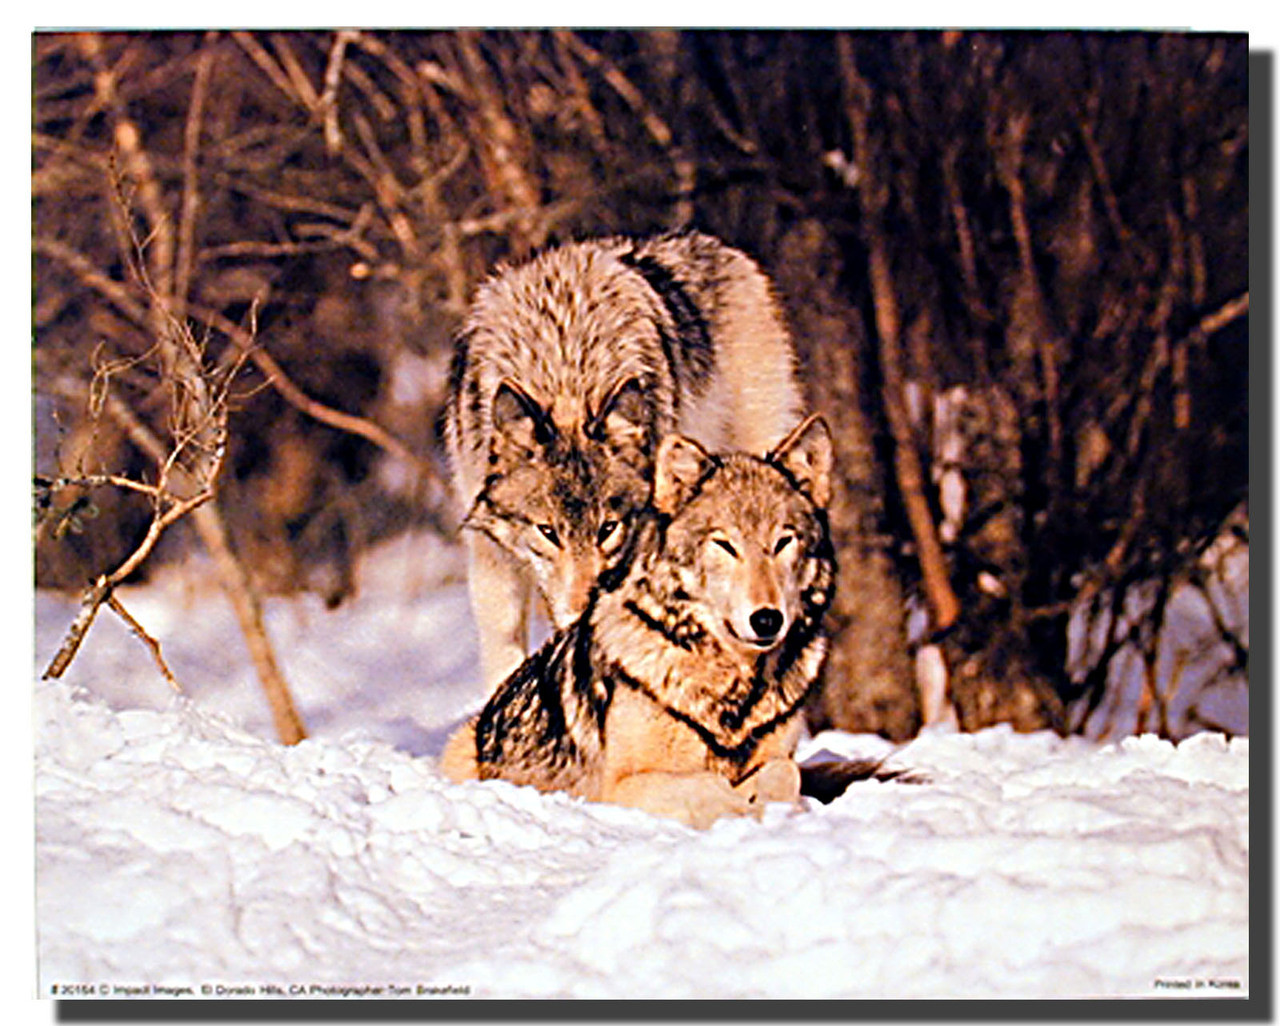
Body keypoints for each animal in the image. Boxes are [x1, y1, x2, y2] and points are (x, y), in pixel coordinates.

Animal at [440, 415, 836, 829]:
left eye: (783, 542)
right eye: (725, 545)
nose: (767, 619)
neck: (734, 695)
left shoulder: (780, 759)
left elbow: (784, 773)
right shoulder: (617, 788)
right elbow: (707, 784)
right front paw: (740, 807)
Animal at [444, 232, 803, 692]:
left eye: (608, 529)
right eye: (548, 532)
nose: (579, 615)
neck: (565, 371)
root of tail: (716, 245)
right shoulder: (491, 558)